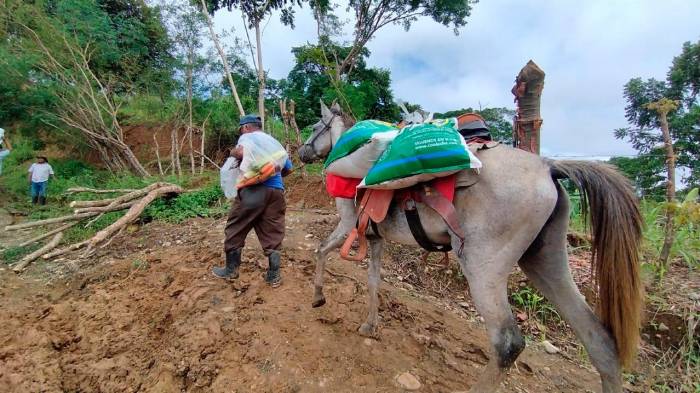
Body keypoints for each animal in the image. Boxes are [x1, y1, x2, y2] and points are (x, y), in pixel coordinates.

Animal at [298, 102, 644, 392]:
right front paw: (370, 324)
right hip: (545, 260)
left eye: (315, 126)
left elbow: (321, 251)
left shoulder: (347, 224)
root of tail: (549, 166)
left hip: (482, 268)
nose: (301, 152)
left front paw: (317, 296)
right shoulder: (376, 238)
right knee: (600, 342)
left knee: (508, 344)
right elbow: (373, 282)